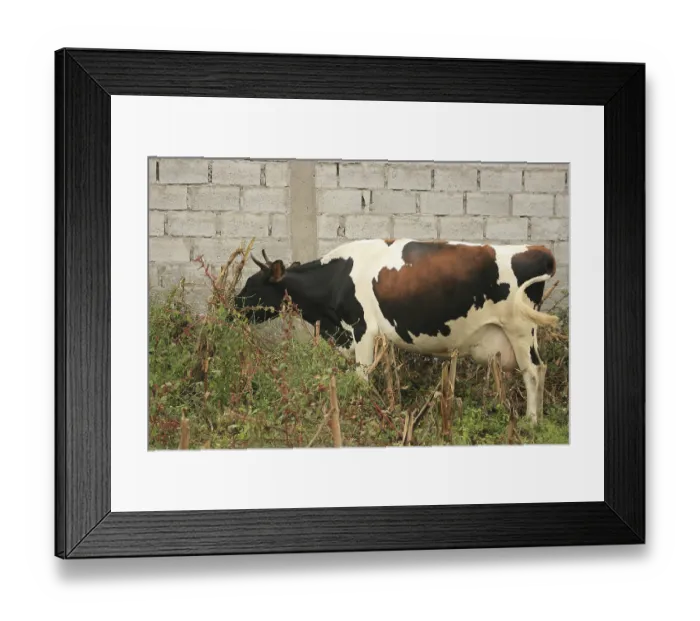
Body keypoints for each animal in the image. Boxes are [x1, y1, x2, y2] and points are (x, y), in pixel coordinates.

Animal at [234, 239, 559, 424]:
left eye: (251, 284)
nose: (231, 307)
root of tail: (538, 250)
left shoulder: (362, 328)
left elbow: (362, 376)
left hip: (519, 328)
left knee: (533, 371)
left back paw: (531, 422)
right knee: (540, 370)